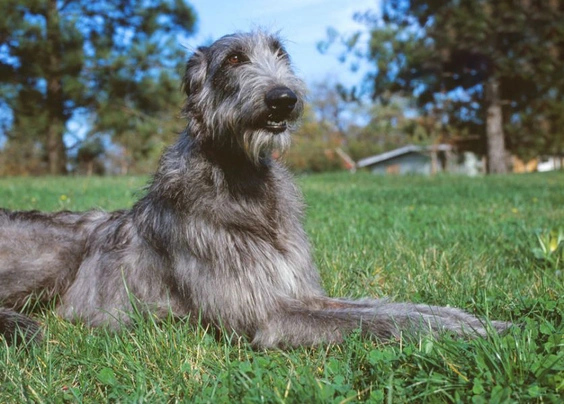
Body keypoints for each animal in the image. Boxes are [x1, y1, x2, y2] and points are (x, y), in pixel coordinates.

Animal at [0, 31, 512, 348]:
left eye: (280, 53)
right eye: (233, 59)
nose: (284, 98)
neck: (242, 182)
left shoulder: (302, 292)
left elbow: (388, 309)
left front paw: (472, 320)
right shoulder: (266, 314)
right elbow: (375, 321)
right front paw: (471, 332)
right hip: (57, 254)